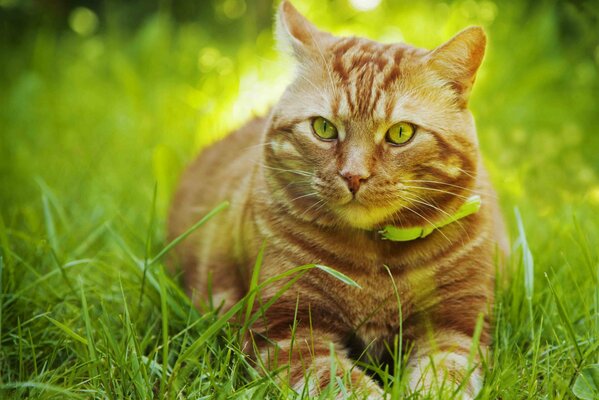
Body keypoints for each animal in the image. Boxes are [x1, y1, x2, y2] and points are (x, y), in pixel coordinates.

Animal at [168, 1, 506, 398]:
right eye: (324, 128)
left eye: (400, 133)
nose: (353, 176)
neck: (377, 263)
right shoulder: (288, 331)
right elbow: (342, 383)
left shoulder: (455, 326)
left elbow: (442, 379)